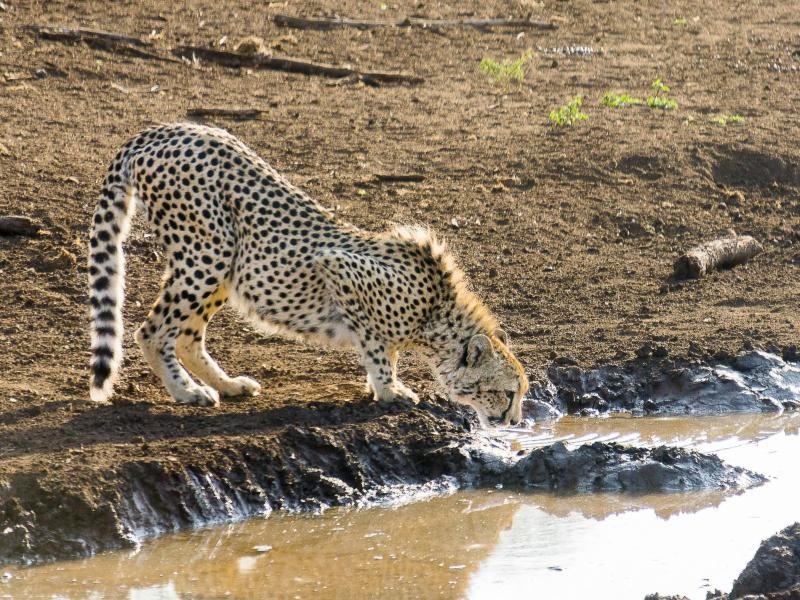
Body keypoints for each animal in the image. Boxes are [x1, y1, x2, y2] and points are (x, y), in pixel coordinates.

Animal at [87, 123, 528, 426]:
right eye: (506, 393)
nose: (515, 421)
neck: (437, 314)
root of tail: (162, 130)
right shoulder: (340, 269)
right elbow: (377, 347)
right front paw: (389, 390)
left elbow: (384, 351)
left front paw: (379, 385)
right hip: (208, 252)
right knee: (152, 330)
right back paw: (187, 391)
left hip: (223, 267)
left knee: (187, 336)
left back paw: (227, 385)